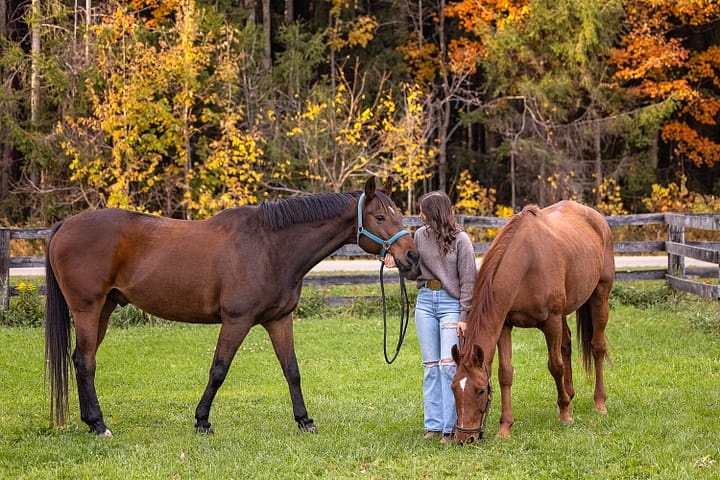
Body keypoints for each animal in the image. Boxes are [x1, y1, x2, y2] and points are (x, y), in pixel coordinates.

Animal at [45, 177, 420, 437]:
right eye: (380, 216)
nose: (412, 256)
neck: (269, 246)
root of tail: (64, 226)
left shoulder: (279, 320)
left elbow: (292, 370)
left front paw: (304, 420)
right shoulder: (236, 321)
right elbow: (219, 370)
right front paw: (202, 421)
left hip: (105, 309)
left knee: (80, 360)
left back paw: (91, 422)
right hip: (88, 310)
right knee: (86, 362)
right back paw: (99, 425)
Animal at [450, 200, 614, 445]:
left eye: (480, 390)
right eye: (453, 388)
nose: (464, 438)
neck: (527, 263)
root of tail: (598, 219)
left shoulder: (551, 322)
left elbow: (555, 366)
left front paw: (564, 415)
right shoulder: (504, 326)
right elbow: (505, 374)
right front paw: (505, 427)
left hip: (599, 296)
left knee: (597, 348)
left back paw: (599, 402)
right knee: (566, 345)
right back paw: (570, 395)